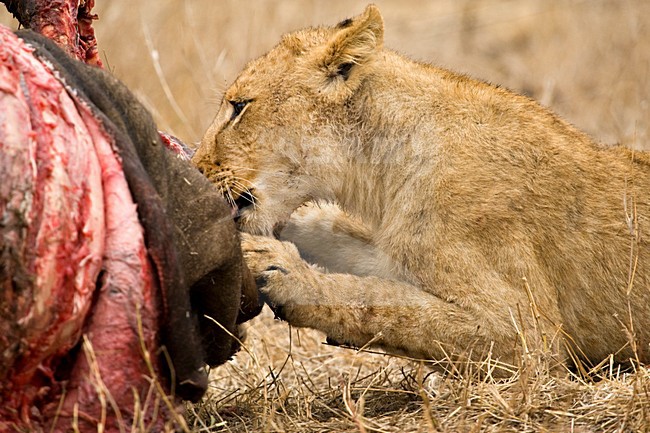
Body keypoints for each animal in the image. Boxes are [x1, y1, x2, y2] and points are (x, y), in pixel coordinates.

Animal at [192, 4, 650, 373]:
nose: (196, 168)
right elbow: (341, 241)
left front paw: (281, 268)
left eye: (239, 107)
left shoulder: (529, 337)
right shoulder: (399, 250)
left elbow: (385, 302)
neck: (381, 165)